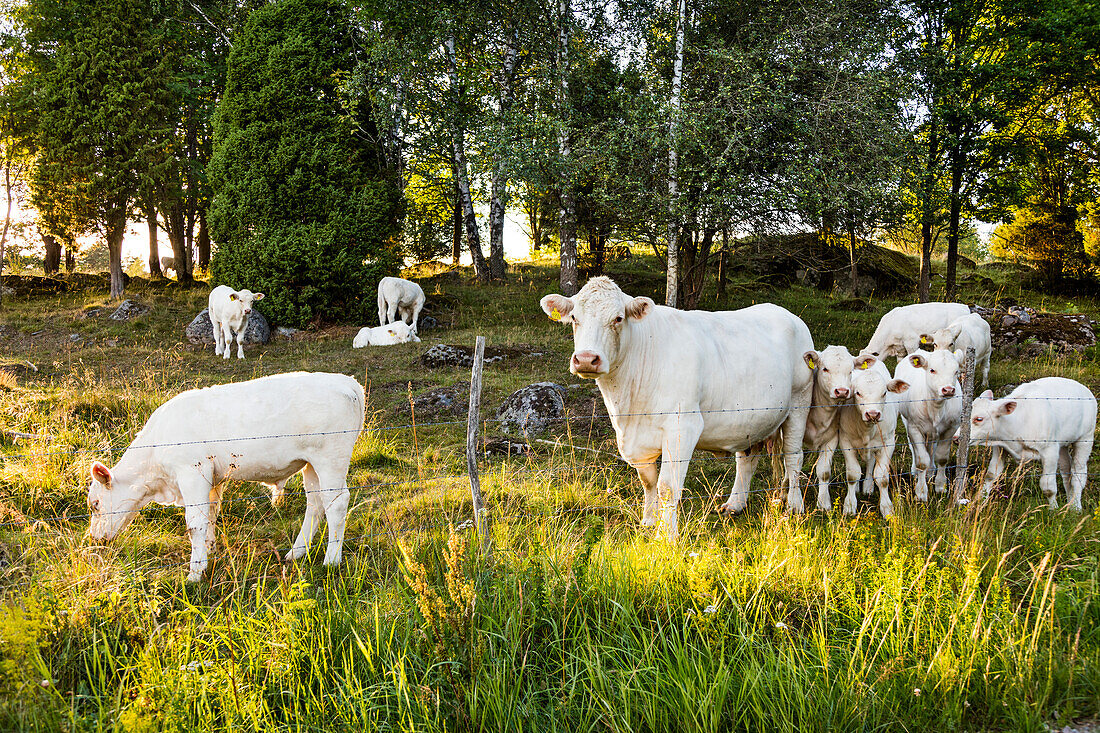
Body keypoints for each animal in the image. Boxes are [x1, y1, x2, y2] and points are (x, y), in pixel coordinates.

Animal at [536, 274, 814, 537]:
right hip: (753, 418)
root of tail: (787, 313)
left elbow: (667, 487)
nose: (586, 359)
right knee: (747, 458)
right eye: (574, 317)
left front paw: (666, 536)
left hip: (800, 402)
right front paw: (648, 523)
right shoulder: (637, 440)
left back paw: (794, 506)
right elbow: (648, 482)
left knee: (793, 456)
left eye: (617, 318)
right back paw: (735, 505)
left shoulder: (683, 426)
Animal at [836, 354, 906, 512]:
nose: (873, 414)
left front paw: (887, 507)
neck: (866, 429)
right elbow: (853, 473)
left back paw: (868, 486)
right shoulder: (845, 441)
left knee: (870, 462)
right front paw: (849, 505)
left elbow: (882, 477)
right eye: (858, 393)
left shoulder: (888, 443)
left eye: (884, 393)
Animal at [893, 347, 963, 497]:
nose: (948, 390)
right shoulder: (914, 428)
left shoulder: (951, 428)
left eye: (956, 371)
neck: (936, 408)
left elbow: (942, 457)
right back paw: (916, 471)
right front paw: (921, 492)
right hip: (907, 422)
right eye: (932, 370)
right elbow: (922, 461)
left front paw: (940, 486)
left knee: (931, 448)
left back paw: (931, 472)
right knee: (914, 448)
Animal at [968, 376, 1095, 508]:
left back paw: (1076, 507)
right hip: (1062, 445)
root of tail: (1085, 389)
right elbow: (991, 475)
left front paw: (1054, 509)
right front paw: (979, 501)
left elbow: (1048, 487)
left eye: (979, 419)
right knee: (1066, 471)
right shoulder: (1000, 448)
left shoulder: (1049, 452)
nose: (960, 435)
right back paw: (1069, 504)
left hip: (1085, 439)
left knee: (1078, 474)